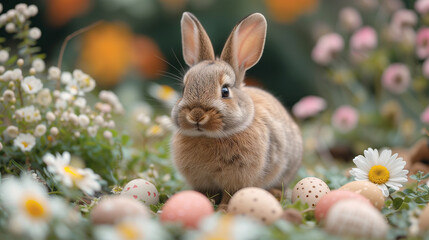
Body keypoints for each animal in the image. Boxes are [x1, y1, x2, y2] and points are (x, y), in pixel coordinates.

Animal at [170, 12, 300, 208]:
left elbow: (230, 194)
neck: (208, 137)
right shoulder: (203, 181)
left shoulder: (237, 179)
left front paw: (224, 209)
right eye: (184, 89)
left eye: (225, 91)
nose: (196, 115)